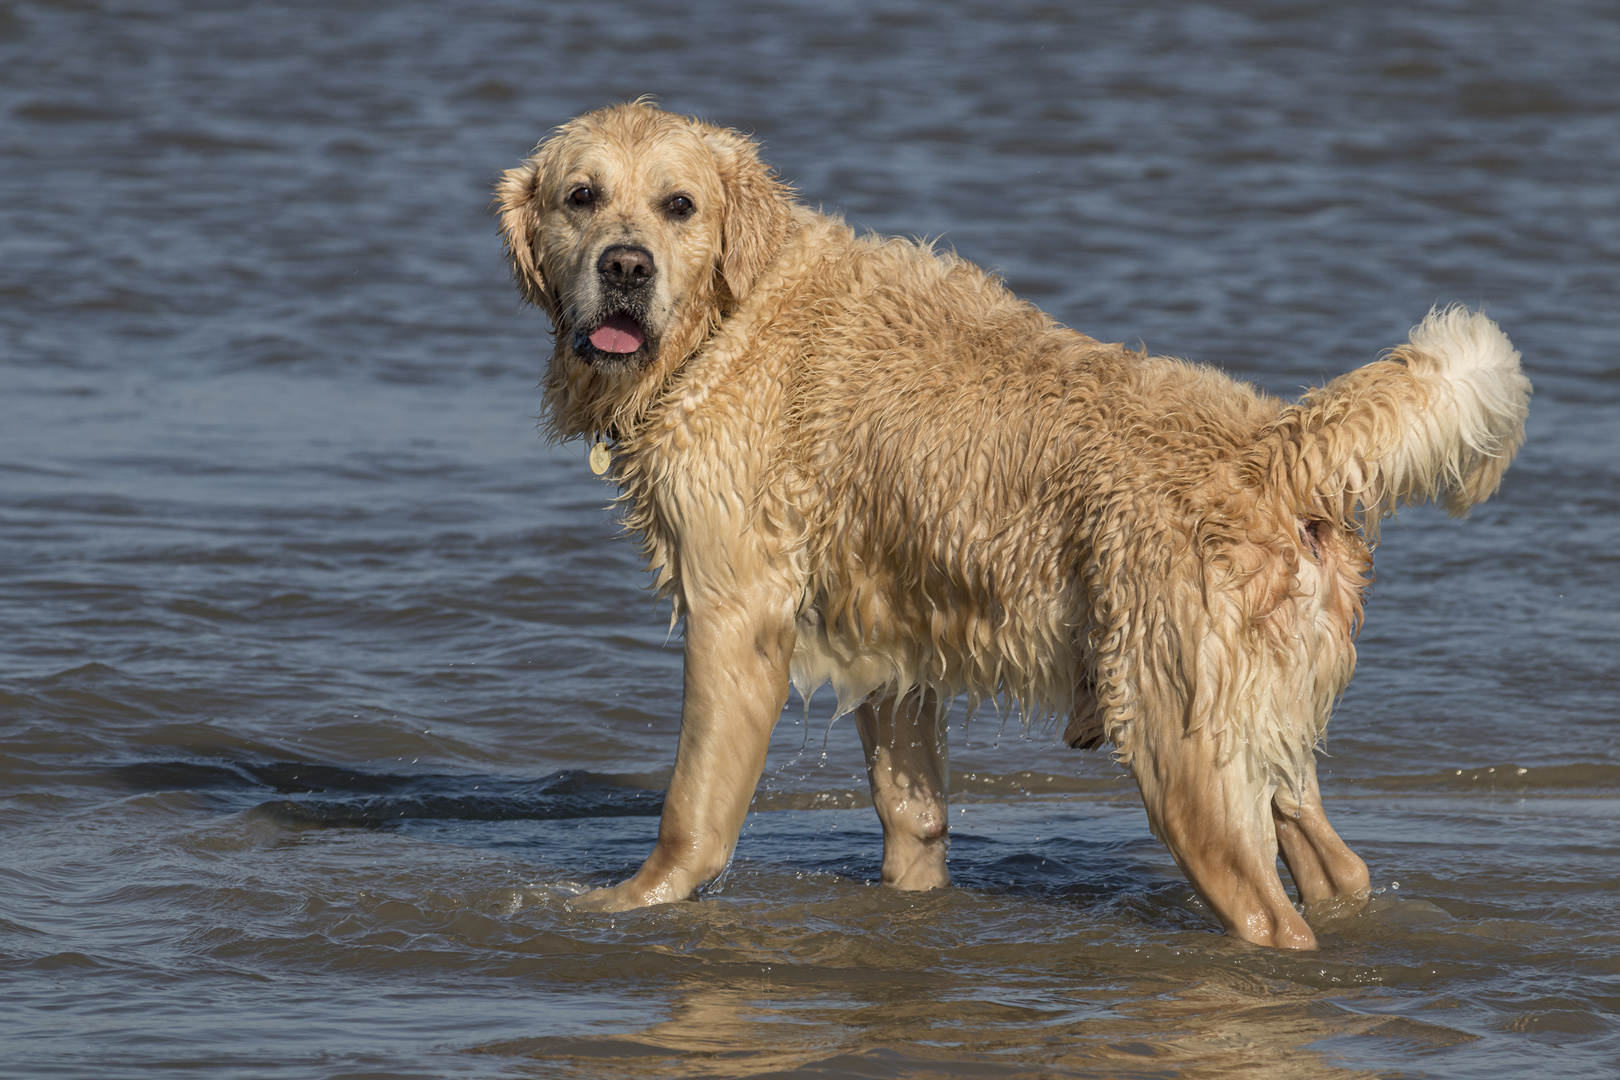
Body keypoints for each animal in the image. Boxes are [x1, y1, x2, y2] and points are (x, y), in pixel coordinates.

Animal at [495, 101, 1529, 945]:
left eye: (678, 205)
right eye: (583, 197)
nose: (625, 267)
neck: (725, 323)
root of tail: (1277, 446)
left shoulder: (736, 611)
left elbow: (695, 812)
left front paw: (631, 904)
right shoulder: (893, 629)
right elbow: (912, 813)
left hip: (1175, 735)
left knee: (1270, 912)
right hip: (1257, 715)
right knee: (1331, 859)